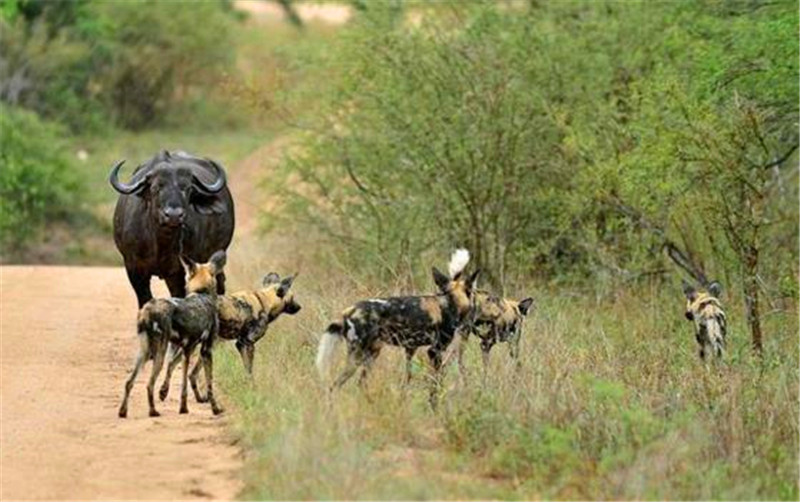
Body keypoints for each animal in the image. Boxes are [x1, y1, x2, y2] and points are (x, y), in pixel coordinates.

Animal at [112, 148, 238, 306]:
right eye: (156, 187)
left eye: (187, 188)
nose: (173, 215)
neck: (160, 242)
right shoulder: (133, 268)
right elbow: (145, 300)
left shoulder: (178, 271)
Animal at [117, 249, 227, 418]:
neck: (201, 293)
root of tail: (148, 310)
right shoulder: (206, 350)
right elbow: (208, 385)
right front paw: (214, 409)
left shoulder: (187, 348)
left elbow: (180, 378)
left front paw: (179, 404)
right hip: (158, 353)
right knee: (149, 384)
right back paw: (153, 411)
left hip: (144, 352)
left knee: (129, 382)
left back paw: (123, 411)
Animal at [316, 249, 478, 402]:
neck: (451, 301)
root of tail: (348, 311)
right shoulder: (435, 351)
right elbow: (434, 387)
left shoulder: (411, 349)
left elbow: (408, 378)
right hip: (357, 357)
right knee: (334, 386)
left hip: (372, 354)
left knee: (360, 383)